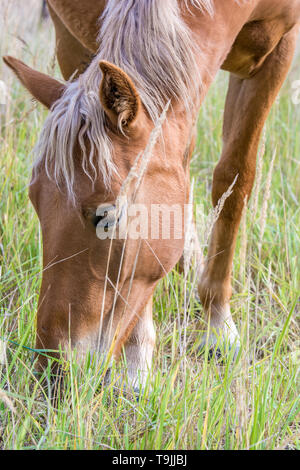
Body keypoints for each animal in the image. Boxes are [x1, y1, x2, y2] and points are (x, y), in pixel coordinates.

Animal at [2, 0, 300, 388]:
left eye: (107, 217)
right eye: (35, 203)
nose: (52, 369)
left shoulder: (277, 51)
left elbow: (234, 179)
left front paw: (218, 324)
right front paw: (136, 361)